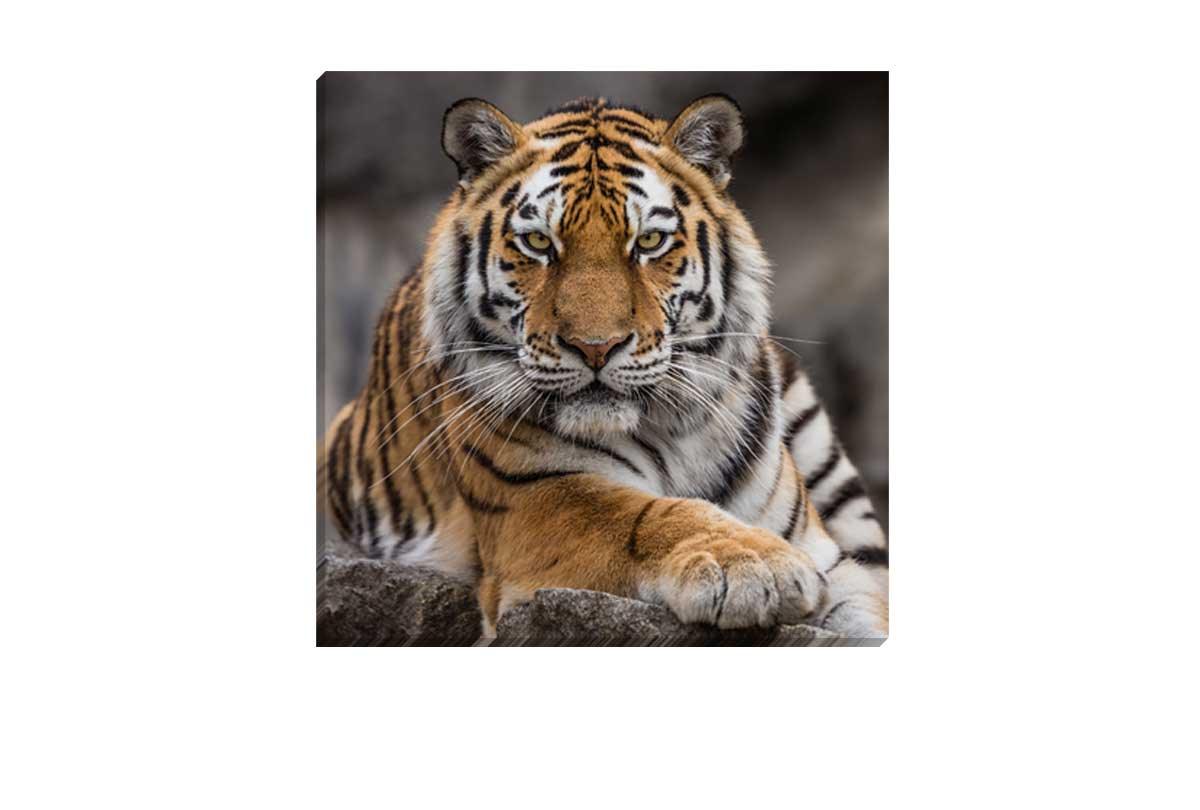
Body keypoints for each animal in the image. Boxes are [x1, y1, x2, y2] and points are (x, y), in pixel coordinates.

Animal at [319, 94, 888, 641]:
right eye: (539, 243)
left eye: (649, 242)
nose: (595, 347)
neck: (672, 431)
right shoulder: (533, 499)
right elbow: (644, 513)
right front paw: (754, 565)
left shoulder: (836, 563)